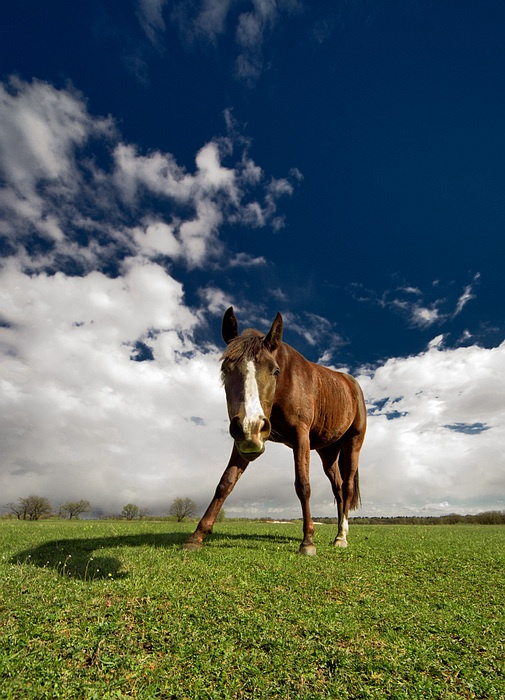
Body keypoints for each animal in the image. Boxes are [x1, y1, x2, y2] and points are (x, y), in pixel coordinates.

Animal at [184, 307, 367, 555]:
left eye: (275, 371)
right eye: (225, 369)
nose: (251, 424)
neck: (287, 383)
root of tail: (351, 384)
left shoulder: (300, 436)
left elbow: (303, 485)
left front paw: (307, 541)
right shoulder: (245, 441)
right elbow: (225, 483)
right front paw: (197, 536)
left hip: (353, 443)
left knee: (346, 488)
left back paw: (342, 536)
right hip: (327, 452)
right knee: (337, 489)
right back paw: (338, 533)